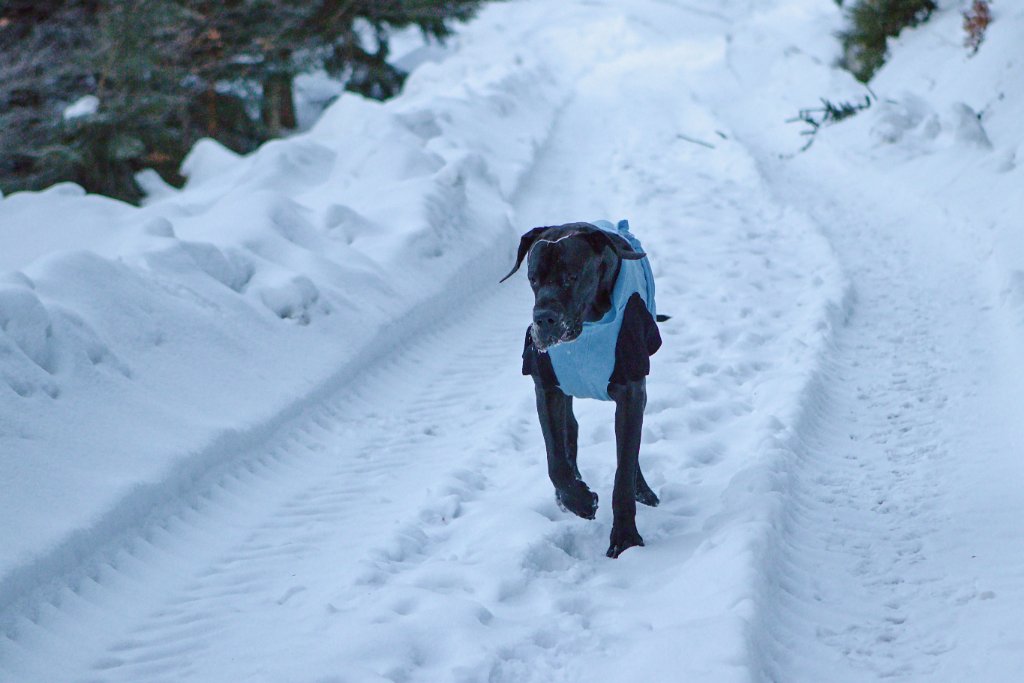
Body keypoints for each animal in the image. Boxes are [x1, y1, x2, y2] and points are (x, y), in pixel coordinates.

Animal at [501, 222, 663, 557]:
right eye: (533, 278)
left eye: (571, 277)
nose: (544, 319)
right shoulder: (547, 388)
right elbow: (556, 461)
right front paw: (579, 499)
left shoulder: (631, 393)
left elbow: (623, 470)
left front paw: (625, 539)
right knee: (570, 434)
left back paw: (642, 491)